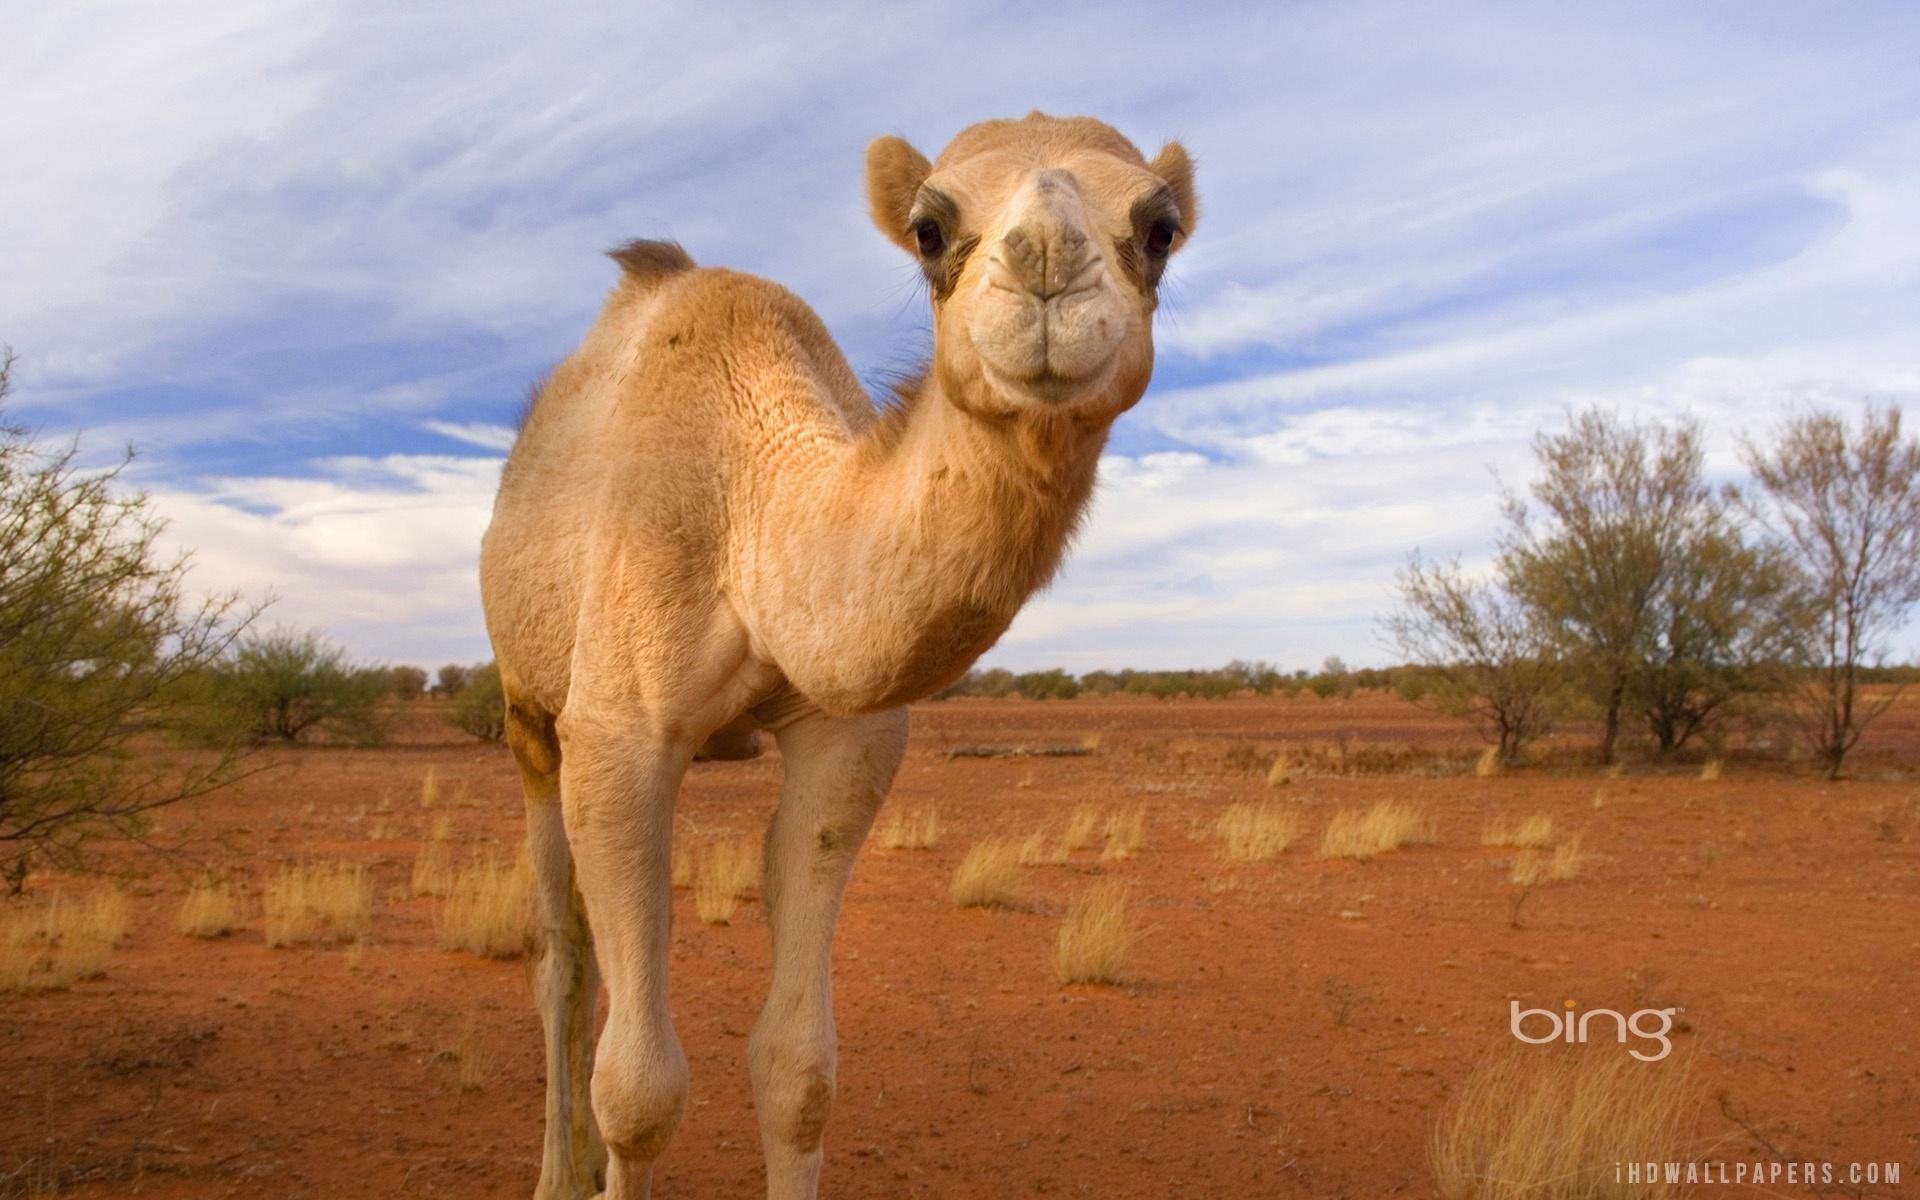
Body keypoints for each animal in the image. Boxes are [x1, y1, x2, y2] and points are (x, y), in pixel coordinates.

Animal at [480, 114, 1198, 1198]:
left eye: (1160, 228)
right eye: (929, 229)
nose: (1046, 267)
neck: (751, 514)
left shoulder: (846, 741)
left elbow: (798, 1069)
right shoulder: (616, 737)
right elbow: (639, 1092)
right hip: (527, 710)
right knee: (560, 956)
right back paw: (559, 1174)